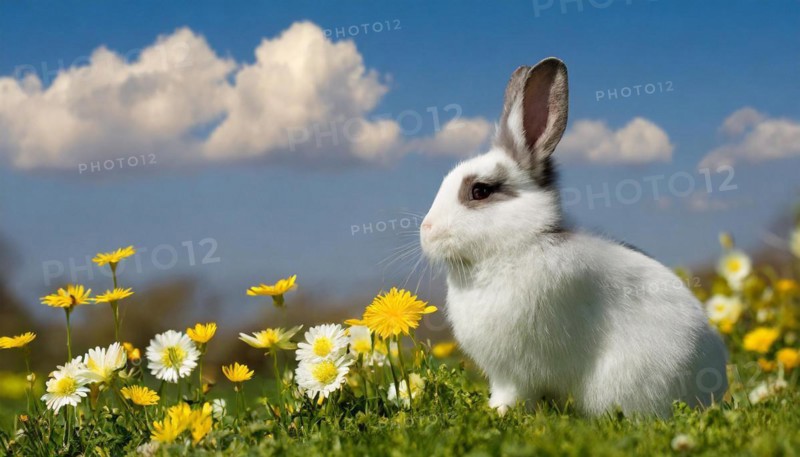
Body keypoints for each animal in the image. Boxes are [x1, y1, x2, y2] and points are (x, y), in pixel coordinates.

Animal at [419, 57, 728, 417]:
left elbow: (513, 394)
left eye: (480, 191)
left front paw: (498, 413)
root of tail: (713, 385)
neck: (519, 245)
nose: (426, 231)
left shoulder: (518, 372)